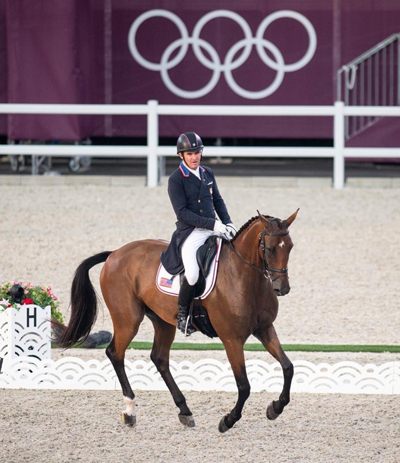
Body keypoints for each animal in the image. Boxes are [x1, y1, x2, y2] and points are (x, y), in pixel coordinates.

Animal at [52, 210, 296, 436]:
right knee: (115, 353)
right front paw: (227, 421)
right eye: (270, 248)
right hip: (128, 320)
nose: (282, 289)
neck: (244, 277)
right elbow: (244, 386)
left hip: (162, 321)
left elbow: (288, 367)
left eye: (290, 247)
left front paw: (275, 408)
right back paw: (130, 411)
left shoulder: (265, 329)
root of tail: (114, 254)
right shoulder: (232, 339)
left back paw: (184, 411)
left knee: (159, 358)